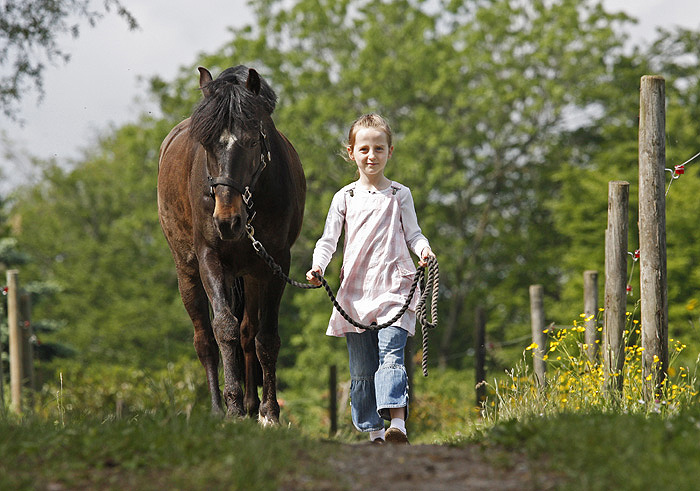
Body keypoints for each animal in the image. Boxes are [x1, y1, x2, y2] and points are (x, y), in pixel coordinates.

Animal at [159, 65, 306, 424]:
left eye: (252, 140)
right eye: (206, 143)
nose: (227, 221)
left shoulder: (275, 263)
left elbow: (265, 338)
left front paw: (268, 412)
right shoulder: (210, 259)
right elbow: (223, 328)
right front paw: (233, 408)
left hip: (250, 274)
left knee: (248, 333)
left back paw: (254, 406)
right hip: (187, 271)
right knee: (205, 340)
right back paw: (218, 407)